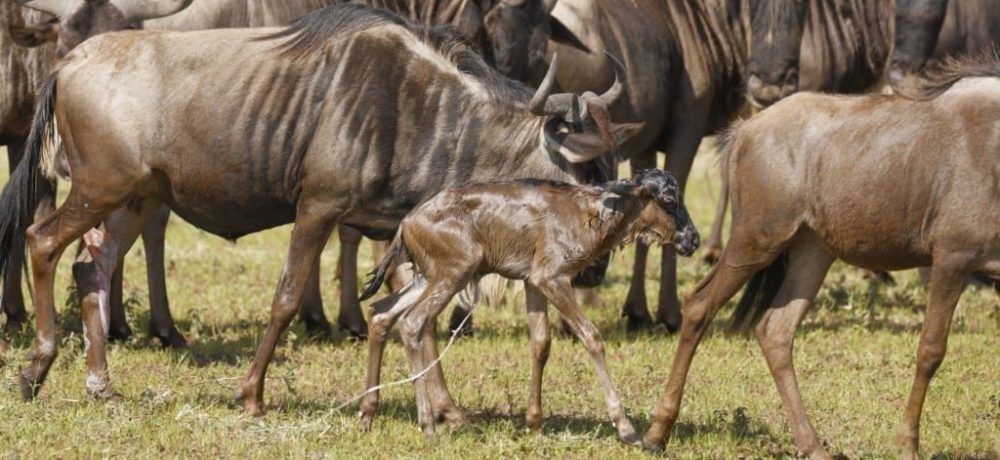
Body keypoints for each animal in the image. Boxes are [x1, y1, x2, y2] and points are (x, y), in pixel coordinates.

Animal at [358, 169, 696, 442]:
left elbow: (541, 343)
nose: (693, 239)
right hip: (453, 274)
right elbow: (591, 336)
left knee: (380, 313)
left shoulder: (533, 282)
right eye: (668, 200)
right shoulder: (553, 279)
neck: (588, 212)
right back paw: (427, 425)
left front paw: (534, 423)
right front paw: (626, 429)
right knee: (412, 323)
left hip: (428, 277)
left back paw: (367, 414)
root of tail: (407, 223)